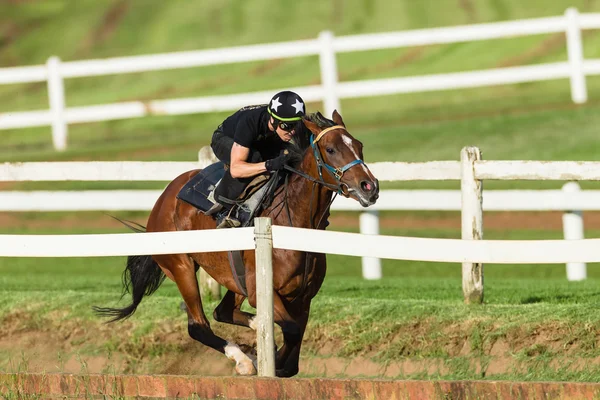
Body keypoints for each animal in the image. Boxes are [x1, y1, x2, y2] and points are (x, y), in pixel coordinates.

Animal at [95, 110, 380, 378]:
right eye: (331, 149)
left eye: (359, 145)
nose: (370, 186)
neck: (294, 224)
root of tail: (164, 197)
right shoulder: (261, 291)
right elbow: (290, 330)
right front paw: (269, 360)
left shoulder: (303, 297)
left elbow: (295, 341)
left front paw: (273, 355)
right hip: (181, 266)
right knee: (198, 325)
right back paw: (243, 358)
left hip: (233, 277)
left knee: (222, 312)